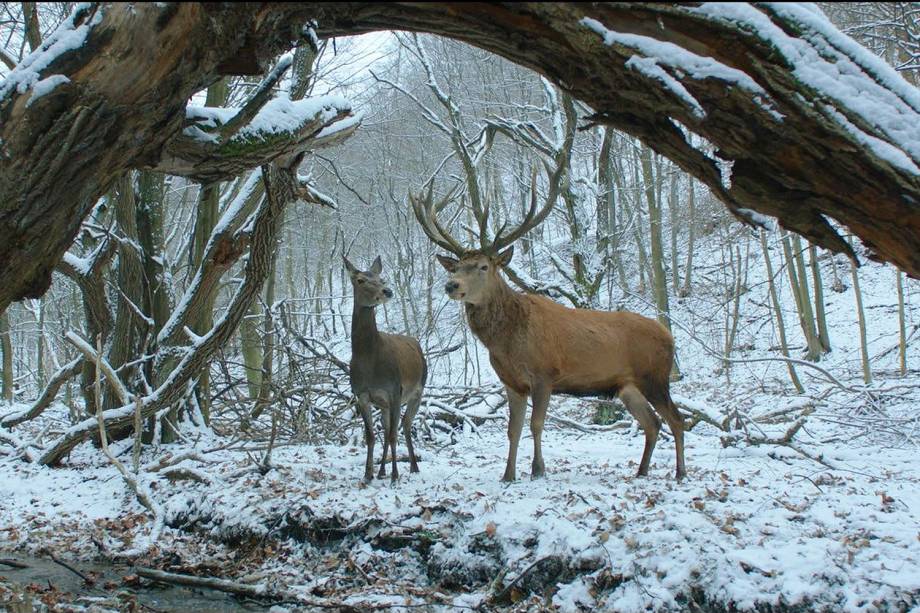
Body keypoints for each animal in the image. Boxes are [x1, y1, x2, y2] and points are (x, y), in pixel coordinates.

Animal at [344, 255, 428, 482]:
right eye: (360, 280)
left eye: (381, 279)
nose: (387, 291)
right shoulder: (362, 394)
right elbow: (370, 435)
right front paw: (368, 474)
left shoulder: (395, 390)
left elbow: (392, 435)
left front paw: (395, 476)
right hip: (384, 404)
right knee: (389, 426)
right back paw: (382, 470)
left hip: (418, 390)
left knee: (405, 425)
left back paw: (413, 466)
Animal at [410, 177, 684, 482]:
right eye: (455, 266)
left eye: (483, 266)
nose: (451, 285)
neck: (507, 342)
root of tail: (669, 335)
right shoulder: (511, 383)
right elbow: (513, 430)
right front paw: (508, 475)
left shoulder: (545, 374)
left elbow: (536, 424)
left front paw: (538, 470)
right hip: (628, 387)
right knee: (653, 423)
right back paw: (642, 470)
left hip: (655, 377)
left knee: (677, 420)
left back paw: (680, 472)